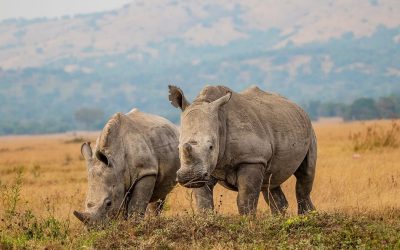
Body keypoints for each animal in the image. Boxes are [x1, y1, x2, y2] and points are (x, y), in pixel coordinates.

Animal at [167, 85, 318, 215]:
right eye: (178, 147)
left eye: (211, 147)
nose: (189, 177)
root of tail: (298, 106)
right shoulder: (204, 170)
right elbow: (204, 203)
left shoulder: (252, 159)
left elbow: (246, 201)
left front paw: (248, 221)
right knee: (270, 182)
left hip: (309, 129)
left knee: (305, 176)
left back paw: (307, 216)